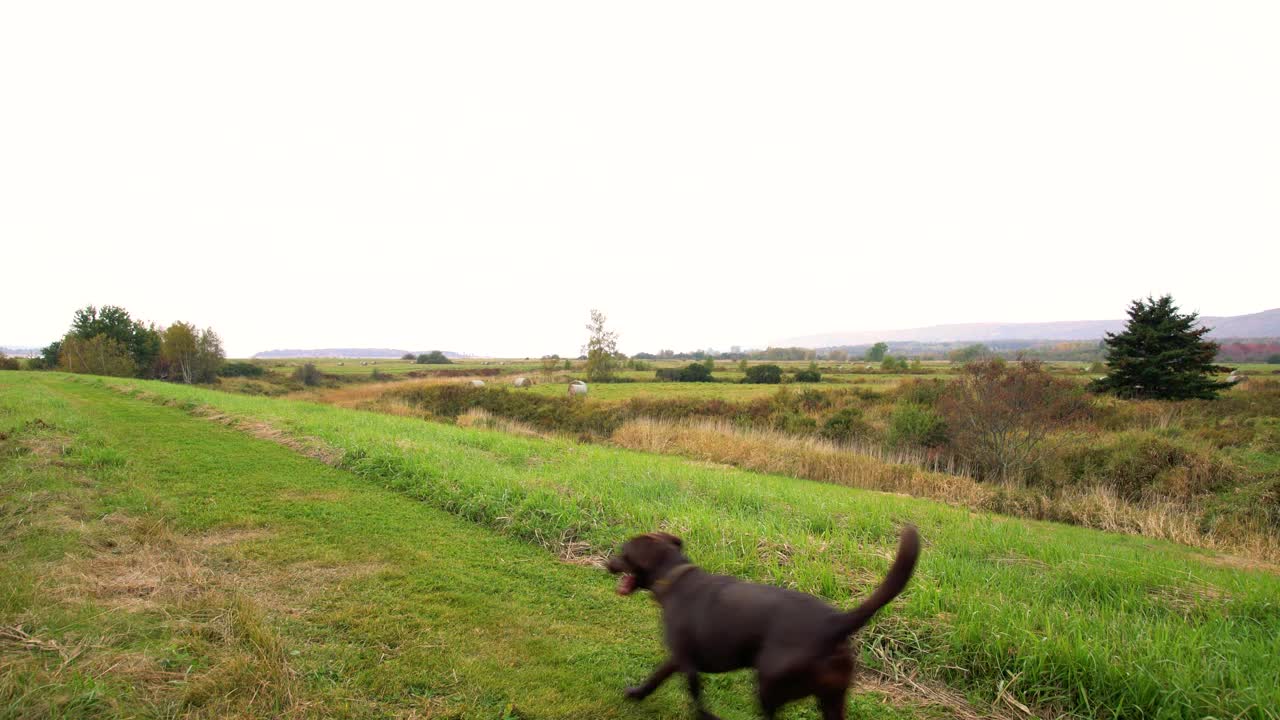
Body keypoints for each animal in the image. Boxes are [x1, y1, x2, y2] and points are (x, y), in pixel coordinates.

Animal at [604, 520, 916, 717]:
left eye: (624, 553)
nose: (607, 563)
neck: (673, 577)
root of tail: (835, 623)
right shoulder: (678, 658)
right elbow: (656, 677)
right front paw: (636, 693)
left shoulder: (688, 663)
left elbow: (696, 699)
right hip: (831, 697)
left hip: (770, 686)